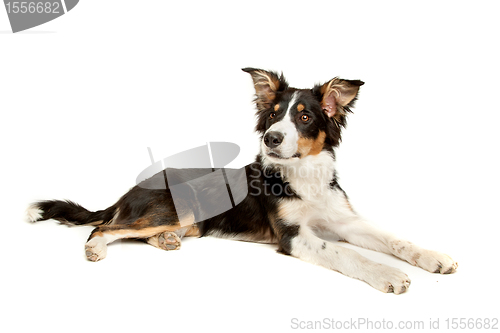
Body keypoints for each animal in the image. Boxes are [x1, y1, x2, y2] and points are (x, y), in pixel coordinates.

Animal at [27, 67, 458, 294]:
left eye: (305, 117)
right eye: (273, 115)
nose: (271, 138)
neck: (303, 175)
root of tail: (129, 191)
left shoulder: (345, 220)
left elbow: (394, 239)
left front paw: (434, 258)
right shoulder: (293, 236)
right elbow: (345, 253)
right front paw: (387, 274)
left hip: (189, 221)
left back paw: (165, 241)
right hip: (173, 207)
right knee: (103, 227)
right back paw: (96, 248)